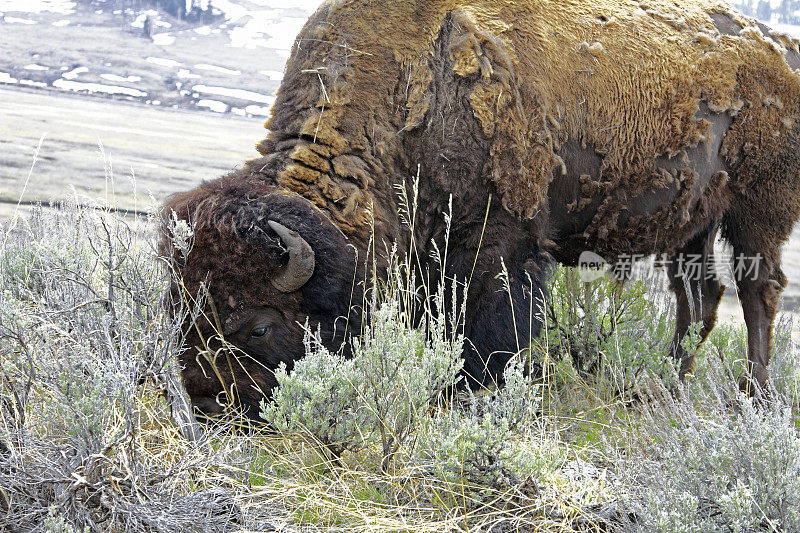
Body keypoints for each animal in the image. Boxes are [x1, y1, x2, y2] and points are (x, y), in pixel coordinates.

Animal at [161, 0, 800, 416]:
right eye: (179, 307)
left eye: (260, 326)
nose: (203, 396)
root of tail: (781, 50)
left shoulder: (498, 241)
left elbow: (492, 323)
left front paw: (468, 391)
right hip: (692, 224)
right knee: (700, 296)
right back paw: (665, 383)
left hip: (756, 212)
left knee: (758, 290)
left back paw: (755, 394)